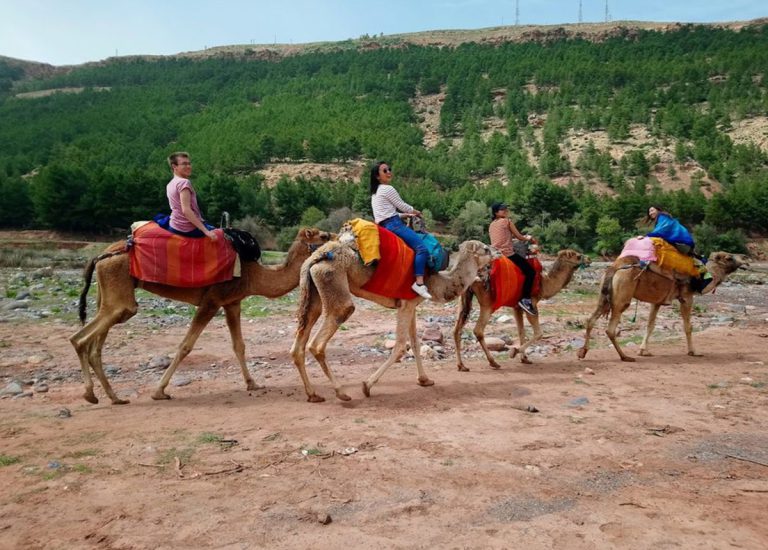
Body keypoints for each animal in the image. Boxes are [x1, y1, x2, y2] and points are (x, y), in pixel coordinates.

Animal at [70, 228, 332, 404]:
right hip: (120, 297)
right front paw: (159, 391)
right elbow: (185, 346)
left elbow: (239, 345)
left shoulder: (232, 302)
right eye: (322, 236)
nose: (334, 238)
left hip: (109, 295)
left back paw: (113, 397)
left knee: (95, 345)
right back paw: (90, 394)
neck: (252, 275)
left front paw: (253, 383)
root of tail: (101, 256)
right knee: (80, 339)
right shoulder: (212, 301)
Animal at [289, 239, 499, 402]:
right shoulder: (406, 304)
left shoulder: (411, 304)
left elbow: (415, 343)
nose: (498, 251)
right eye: (485, 249)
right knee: (318, 342)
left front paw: (425, 380)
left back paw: (313, 394)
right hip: (333, 283)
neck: (436, 282)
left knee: (298, 345)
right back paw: (341, 393)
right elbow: (399, 347)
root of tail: (317, 256)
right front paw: (367, 386)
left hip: (313, 294)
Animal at [453, 249, 591, 369]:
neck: (543, 284)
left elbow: (521, 331)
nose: (589, 259)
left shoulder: (516, 307)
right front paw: (514, 352)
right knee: (478, 330)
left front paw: (524, 358)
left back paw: (462, 366)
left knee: (456, 330)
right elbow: (539, 333)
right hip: (487, 303)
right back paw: (493, 362)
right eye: (578, 256)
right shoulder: (532, 304)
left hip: (463, 297)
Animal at [577, 251, 748, 362]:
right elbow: (688, 326)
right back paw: (625, 357)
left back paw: (583, 352)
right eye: (729, 257)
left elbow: (650, 325)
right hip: (622, 295)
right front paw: (693, 351)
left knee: (590, 319)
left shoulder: (657, 301)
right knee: (610, 328)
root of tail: (614, 268)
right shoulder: (686, 296)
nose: (746, 259)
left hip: (603, 295)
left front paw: (644, 351)